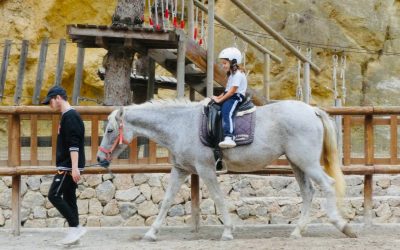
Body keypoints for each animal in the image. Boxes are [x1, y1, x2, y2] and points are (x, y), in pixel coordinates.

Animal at [96, 99, 356, 240]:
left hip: (307, 162)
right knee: (308, 193)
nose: (99, 158)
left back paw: (342, 225)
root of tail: (312, 110)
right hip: (297, 163)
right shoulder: (180, 170)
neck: (180, 124)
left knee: (328, 185)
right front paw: (151, 233)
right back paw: (297, 231)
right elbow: (166, 201)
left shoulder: (206, 170)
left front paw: (228, 232)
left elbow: (219, 199)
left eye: (110, 130)